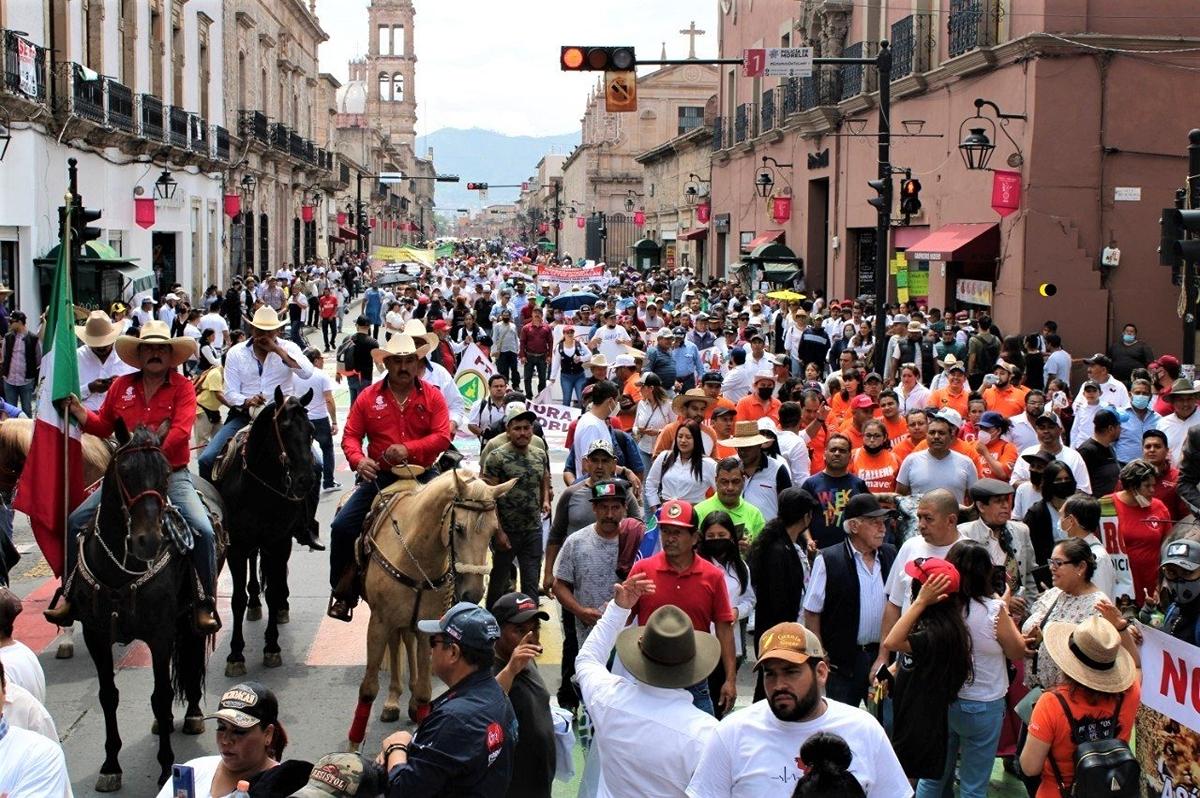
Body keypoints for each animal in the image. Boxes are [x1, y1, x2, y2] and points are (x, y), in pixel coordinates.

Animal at [69, 420, 208, 787]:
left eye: (165, 474)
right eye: (125, 472)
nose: (149, 541)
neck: (119, 570)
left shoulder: (159, 636)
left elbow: (160, 696)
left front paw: (166, 766)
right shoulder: (96, 635)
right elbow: (108, 695)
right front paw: (110, 765)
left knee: (192, 655)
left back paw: (192, 714)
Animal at [213, 384, 314, 676]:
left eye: (312, 430)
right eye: (285, 428)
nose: (306, 480)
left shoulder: (278, 541)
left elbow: (273, 589)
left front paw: (271, 647)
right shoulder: (236, 546)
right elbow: (236, 599)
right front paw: (236, 654)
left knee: (277, 577)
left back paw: (280, 606)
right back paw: (254, 603)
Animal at [348, 468, 516, 748]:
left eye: (493, 531)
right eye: (458, 528)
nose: (472, 593)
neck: (414, 553)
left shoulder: (427, 623)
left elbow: (426, 690)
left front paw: (419, 705)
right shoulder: (379, 623)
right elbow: (368, 689)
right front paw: (353, 747)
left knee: (406, 641)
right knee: (396, 643)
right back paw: (393, 701)